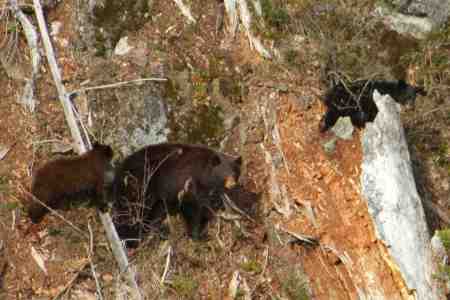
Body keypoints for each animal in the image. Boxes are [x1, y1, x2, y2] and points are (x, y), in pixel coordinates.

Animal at [110, 142, 241, 243]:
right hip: (139, 187)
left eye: (235, 172)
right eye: (224, 173)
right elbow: (191, 208)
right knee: (131, 213)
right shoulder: (184, 183)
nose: (232, 184)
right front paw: (197, 235)